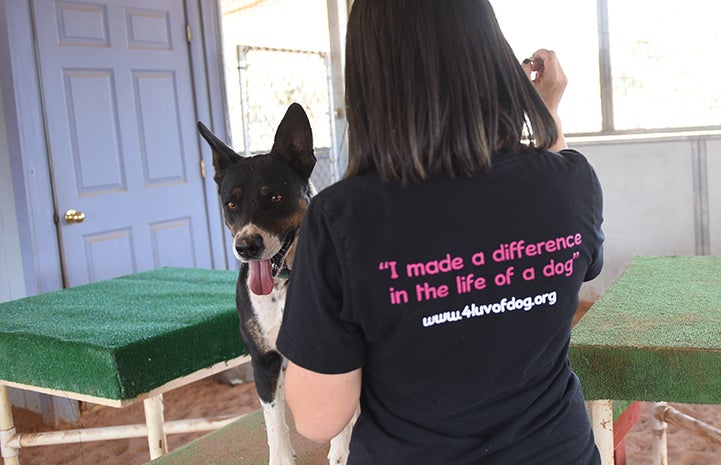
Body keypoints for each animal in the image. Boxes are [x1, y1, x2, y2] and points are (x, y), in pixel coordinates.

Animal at [197, 103, 354, 462]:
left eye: (276, 198)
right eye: (231, 203)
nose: (246, 246)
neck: (286, 281)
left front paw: (341, 453)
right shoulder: (264, 359)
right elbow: (274, 422)